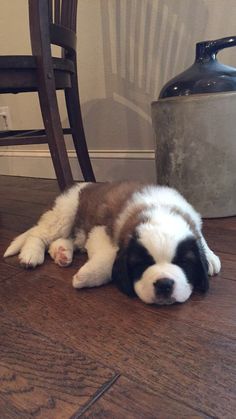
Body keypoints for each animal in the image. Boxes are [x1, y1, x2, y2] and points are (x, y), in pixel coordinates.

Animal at [3, 182, 221, 306]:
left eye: (184, 263)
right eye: (142, 264)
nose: (164, 284)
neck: (159, 208)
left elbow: (201, 238)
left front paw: (210, 257)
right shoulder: (99, 231)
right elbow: (109, 256)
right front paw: (87, 276)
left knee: (64, 239)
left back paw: (62, 252)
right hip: (65, 214)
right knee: (40, 233)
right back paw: (31, 254)